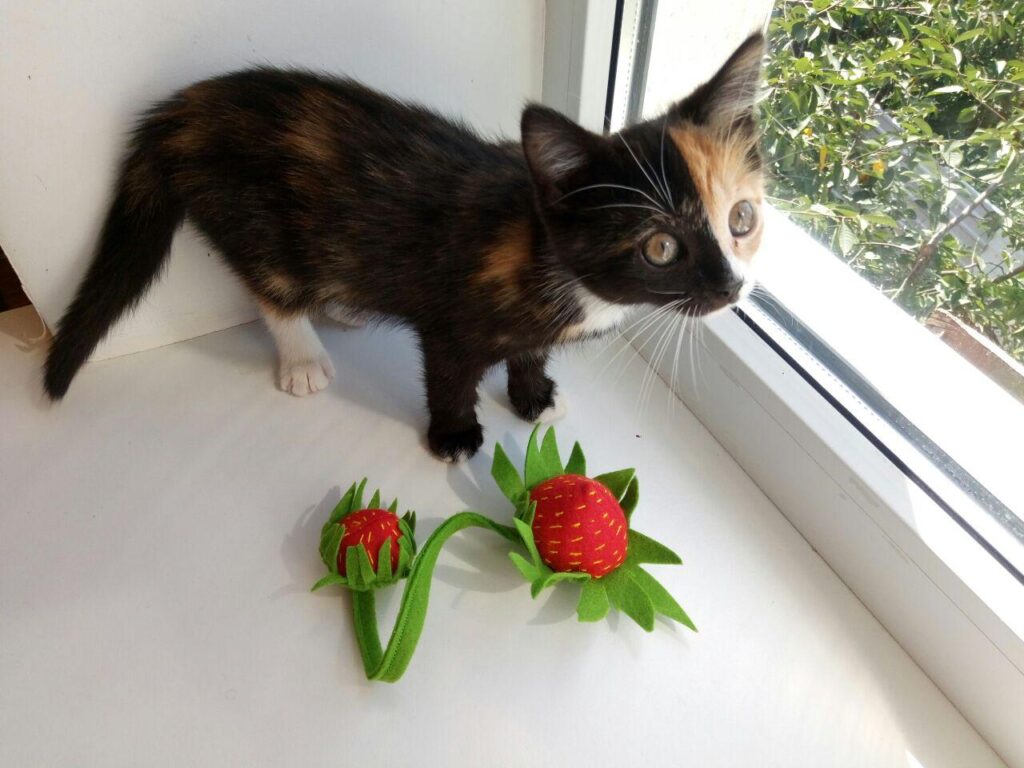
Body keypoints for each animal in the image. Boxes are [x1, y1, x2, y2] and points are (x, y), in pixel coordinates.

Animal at [46, 33, 770, 460]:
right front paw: (454, 436)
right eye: (660, 248)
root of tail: (186, 109)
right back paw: (303, 353)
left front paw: (534, 396)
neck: (550, 258)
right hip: (252, 218)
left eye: (741, 218)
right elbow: (448, 376)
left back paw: (345, 303)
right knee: (271, 284)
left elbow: (528, 352)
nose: (732, 286)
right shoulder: (450, 318)